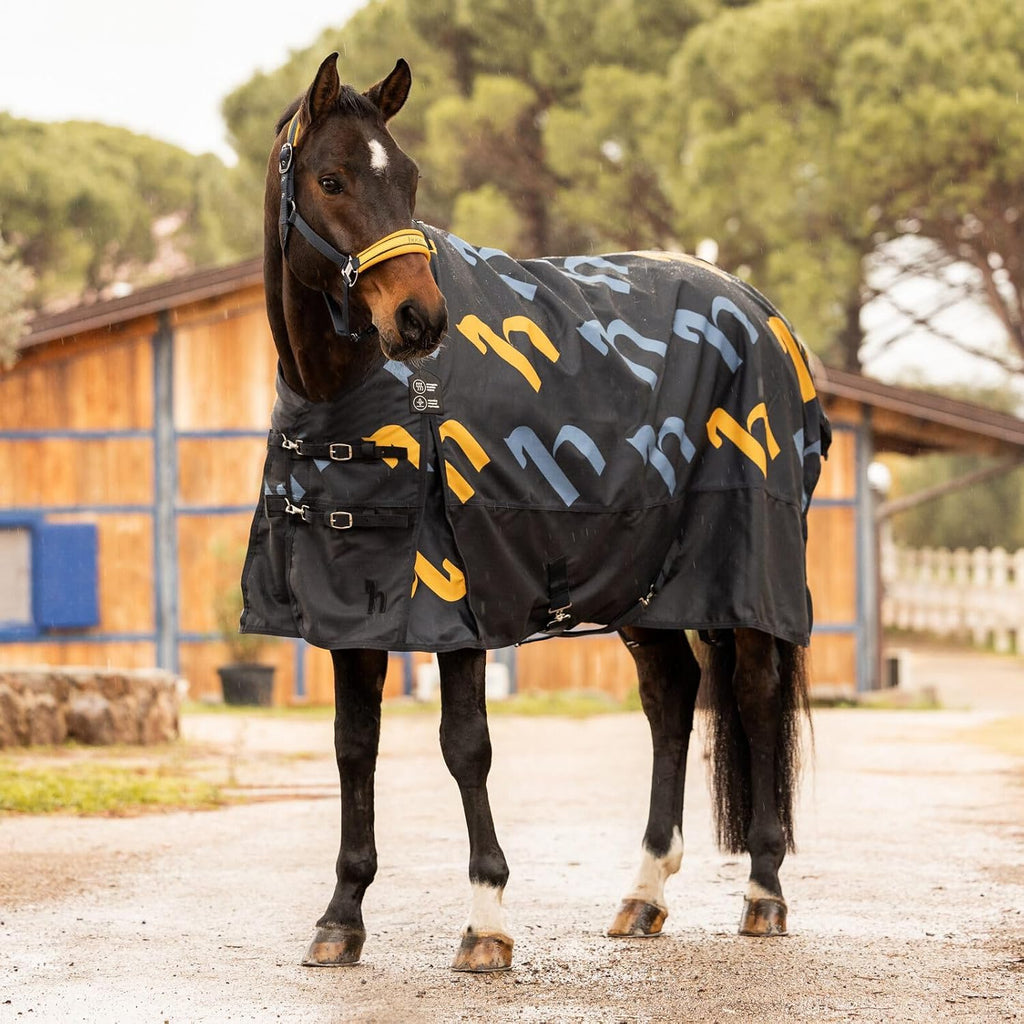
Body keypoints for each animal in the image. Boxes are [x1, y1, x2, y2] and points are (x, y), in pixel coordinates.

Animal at [241, 52, 831, 973]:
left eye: (408, 177)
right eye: (331, 179)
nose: (420, 319)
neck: (352, 400)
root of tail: (762, 314)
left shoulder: (458, 596)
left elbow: (465, 746)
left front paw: (486, 920)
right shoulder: (348, 607)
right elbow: (352, 748)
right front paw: (341, 917)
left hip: (749, 573)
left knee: (756, 693)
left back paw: (763, 893)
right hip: (643, 583)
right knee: (672, 697)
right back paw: (643, 894)